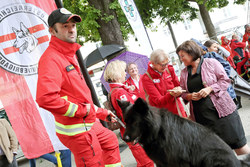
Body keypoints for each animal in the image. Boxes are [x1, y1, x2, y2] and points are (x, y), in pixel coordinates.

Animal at [117, 98, 250, 167]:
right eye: (126, 122)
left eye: (135, 122)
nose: (125, 138)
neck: (157, 131)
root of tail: (238, 162)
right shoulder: (161, 163)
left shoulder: (180, 162)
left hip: (211, 157)